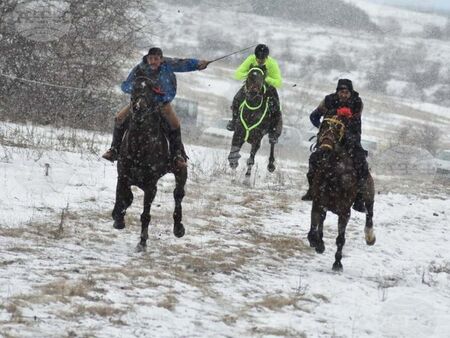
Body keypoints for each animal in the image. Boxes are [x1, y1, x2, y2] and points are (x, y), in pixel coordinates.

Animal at [111, 71, 187, 251]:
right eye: (134, 89)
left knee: (178, 195)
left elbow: (145, 215)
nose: (139, 108)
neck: (139, 145)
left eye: (152, 91)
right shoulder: (123, 177)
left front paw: (142, 242)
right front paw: (118, 219)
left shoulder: (151, 186)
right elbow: (123, 198)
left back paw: (178, 228)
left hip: (180, 170)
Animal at [306, 116, 376, 272]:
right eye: (323, 125)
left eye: (338, 130)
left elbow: (340, 239)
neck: (335, 173)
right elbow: (314, 229)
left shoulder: (344, 212)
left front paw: (337, 263)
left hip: (369, 192)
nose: (324, 149)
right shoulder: (318, 204)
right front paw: (317, 243)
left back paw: (370, 236)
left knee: (369, 212)